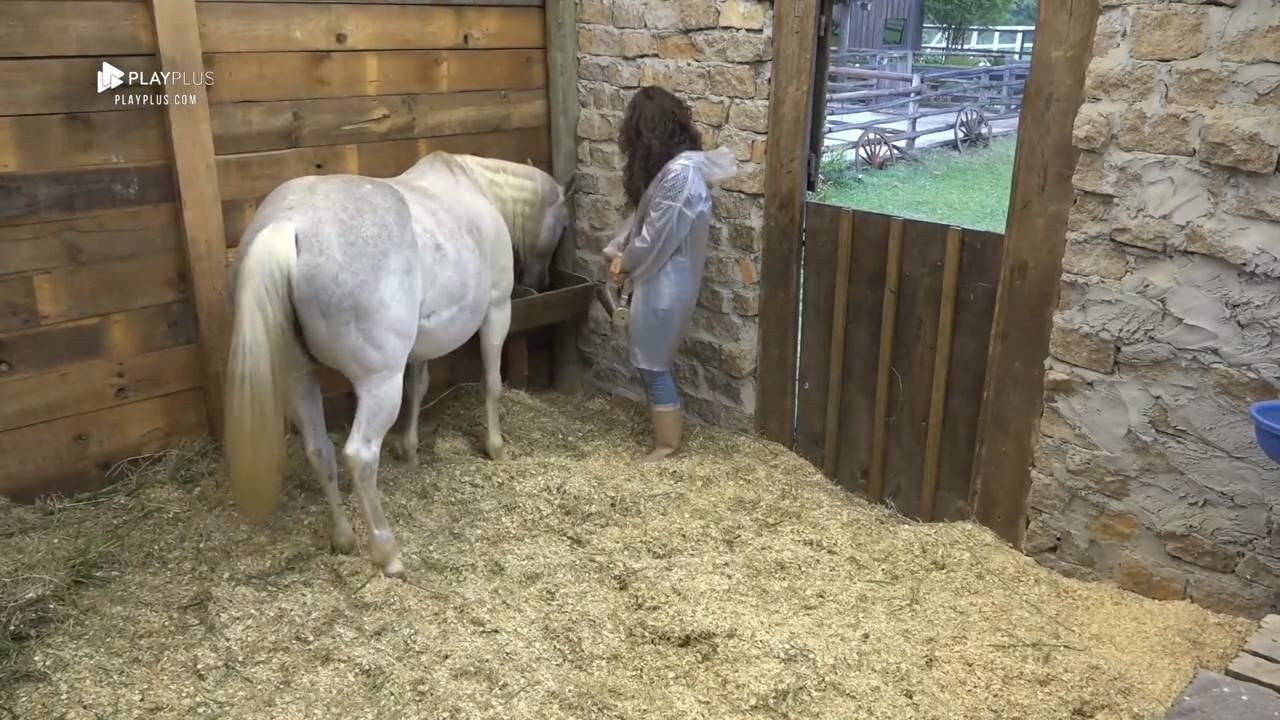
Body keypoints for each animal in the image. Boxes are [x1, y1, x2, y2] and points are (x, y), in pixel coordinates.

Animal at [223, 152, 576, 577]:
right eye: (563, 223)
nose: (540, 282)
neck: (475, 188)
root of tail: (289, 225)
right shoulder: (497, 311)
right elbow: (492, 383)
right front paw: (495, 447)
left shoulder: (420, 346)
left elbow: (418, 388)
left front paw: (410, 449)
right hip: (378, 385)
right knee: (359, 455)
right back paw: (387, 551)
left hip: (299, 379)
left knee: (318, 450)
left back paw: (343, 538)